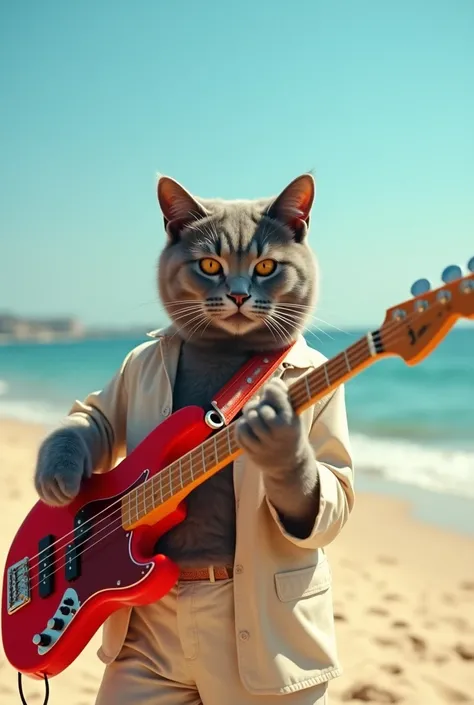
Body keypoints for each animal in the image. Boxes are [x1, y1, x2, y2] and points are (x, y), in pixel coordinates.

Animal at [35, 175, 320, 568]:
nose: (239, 295)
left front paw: (281, 448)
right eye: (210, 266)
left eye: (266, 267)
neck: (224, 347)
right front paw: (55, 477)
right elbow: (93, 415)